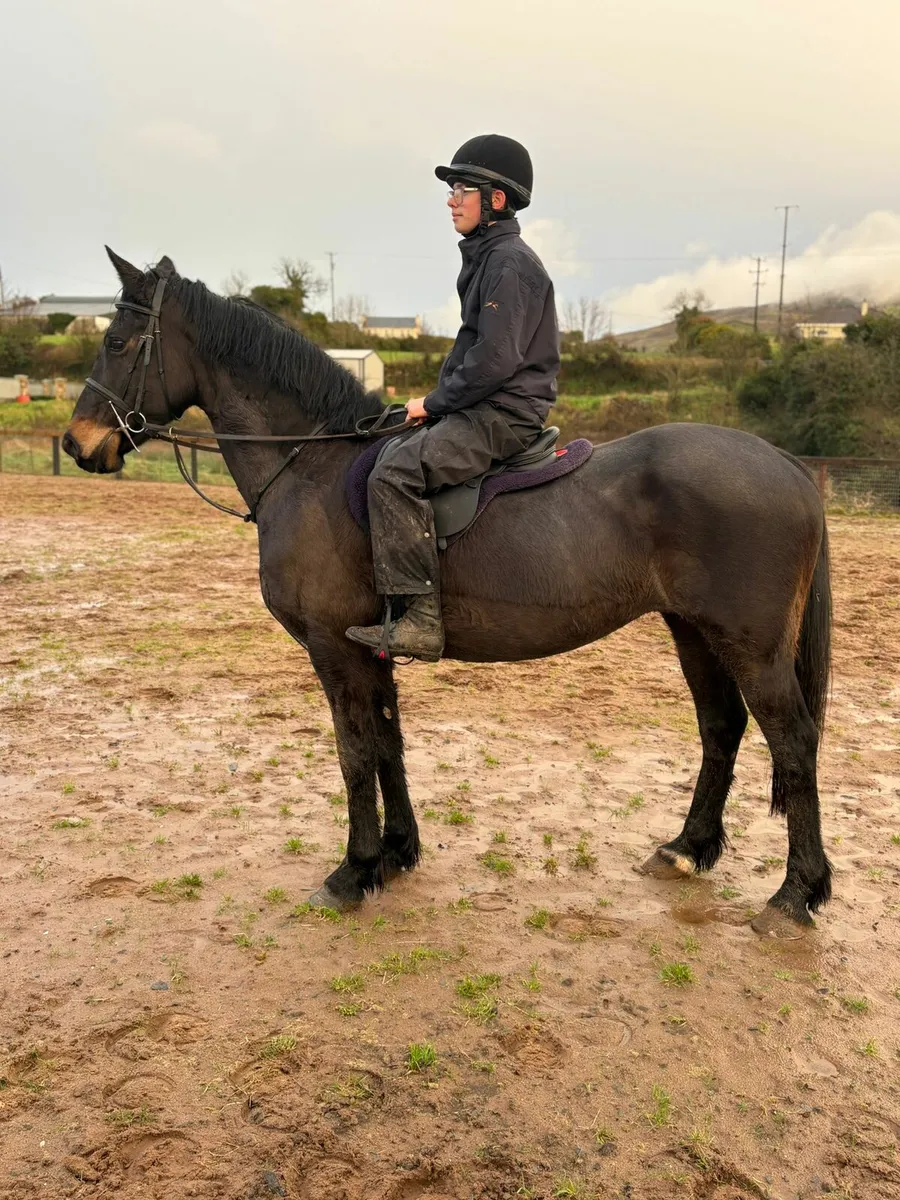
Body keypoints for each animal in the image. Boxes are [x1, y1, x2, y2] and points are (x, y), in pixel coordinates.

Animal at [63, 249, 833, 938]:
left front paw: (353, 871)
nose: (77, 443)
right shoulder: (369, 647)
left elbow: (354, 752)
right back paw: (686, 849)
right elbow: (387, 742)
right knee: (721, 727)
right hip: (693, 631)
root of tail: (786, 464)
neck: (311, 466)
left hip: (751, 645)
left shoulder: (332, 648)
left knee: (794, 742)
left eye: (119, 341)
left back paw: (795, 895)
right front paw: (396, 855)